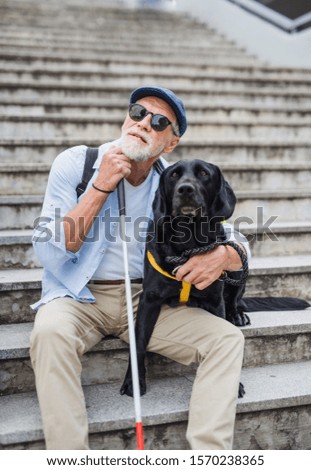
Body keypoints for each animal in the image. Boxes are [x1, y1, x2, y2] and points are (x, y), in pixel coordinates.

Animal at [120, 160, 250, 398]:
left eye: (204, 173)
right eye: (173, 175)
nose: (186, 189)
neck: (188, 240)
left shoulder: (215, 301)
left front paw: (233, 384)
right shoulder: (148, 300)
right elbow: (139, 342)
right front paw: (133, 381)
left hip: (236, 267)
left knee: (234, 300)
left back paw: (237, 315)